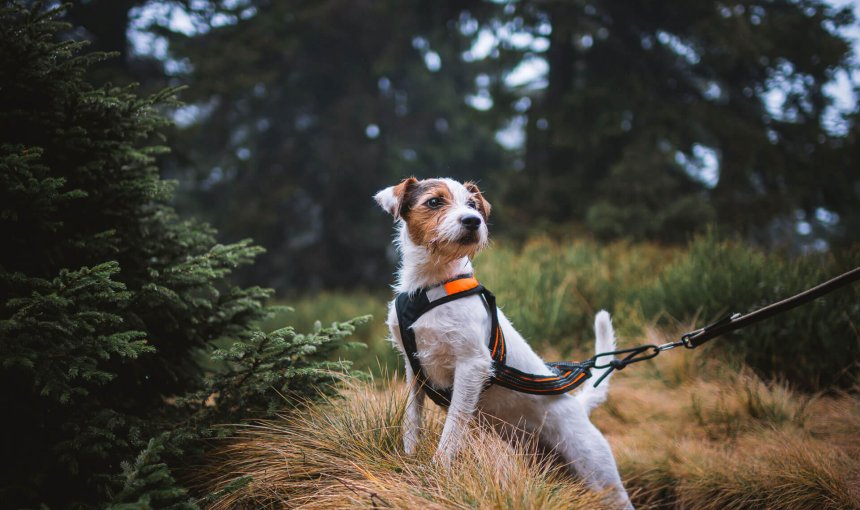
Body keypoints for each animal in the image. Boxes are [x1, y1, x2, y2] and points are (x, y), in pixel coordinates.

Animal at [374, 177, 632, 508]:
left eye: (473, 204)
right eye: (434, 202)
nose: (473, 221)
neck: (431, 285)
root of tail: (579, 406)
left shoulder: (472, 365)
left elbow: (453, 427)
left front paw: (438, 470)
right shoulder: (414, 368)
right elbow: (411, 420)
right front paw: (408, 456)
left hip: (602, 476)